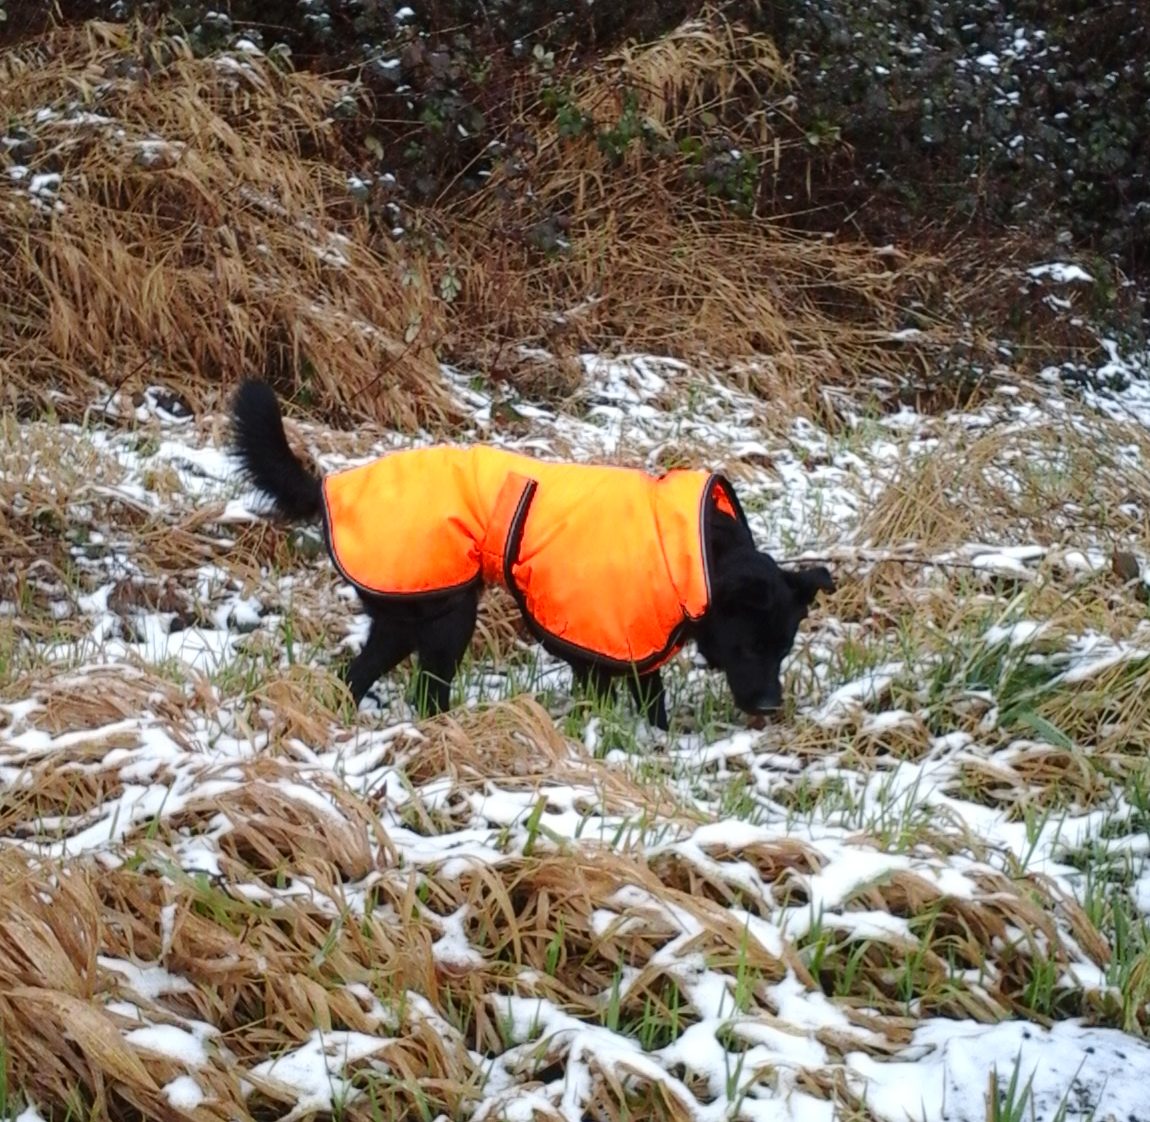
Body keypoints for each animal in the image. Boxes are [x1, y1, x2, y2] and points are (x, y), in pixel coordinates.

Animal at [230, 379, 834, 729]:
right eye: (750, 645)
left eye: (784, 649)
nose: (770, 707)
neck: (699, 554)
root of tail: (331, 486)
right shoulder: (602, 645)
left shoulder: (636, 647)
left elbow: (652, 702)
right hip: (449, 616)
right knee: (427, 692)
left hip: (403, 619)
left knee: (354, 677)